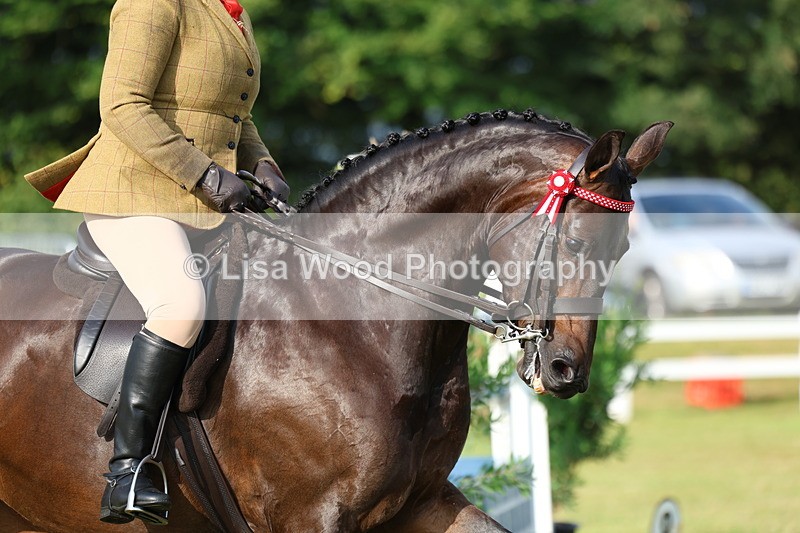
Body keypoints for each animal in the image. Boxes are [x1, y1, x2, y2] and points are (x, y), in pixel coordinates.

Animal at [0, 110, 671, 532]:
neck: (353, 318)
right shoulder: (309, 515)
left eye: (622, 251)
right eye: (576, 242)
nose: (565, 370)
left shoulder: (420, 501)